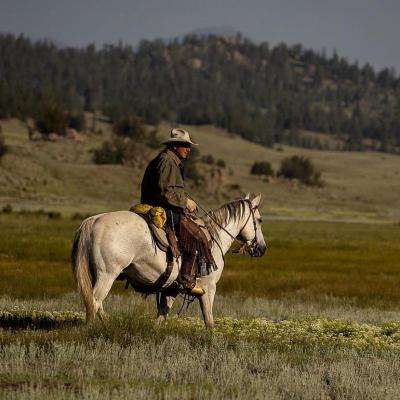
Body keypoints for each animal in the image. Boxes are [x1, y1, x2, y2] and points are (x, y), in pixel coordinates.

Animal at [70, 194, 268, 328]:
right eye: (259, 220)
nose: (262, 248)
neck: (215, 237)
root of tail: (94, 220)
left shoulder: (171, 288)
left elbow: (161, 316)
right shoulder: (209, 287)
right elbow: (208, 320)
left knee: (95, 304)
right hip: (107, 275)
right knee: (94, 302)